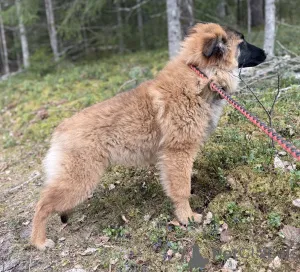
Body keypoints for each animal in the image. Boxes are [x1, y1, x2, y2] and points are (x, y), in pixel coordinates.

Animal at [29, 22, 264, 250]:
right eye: (243, 43)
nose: (266, 53)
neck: (202, 76)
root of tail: (60, 130)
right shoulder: (178, 152)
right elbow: (182, 189)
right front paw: (186, 217)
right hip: (79, 179)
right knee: (42, 204)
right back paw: (39, 241)